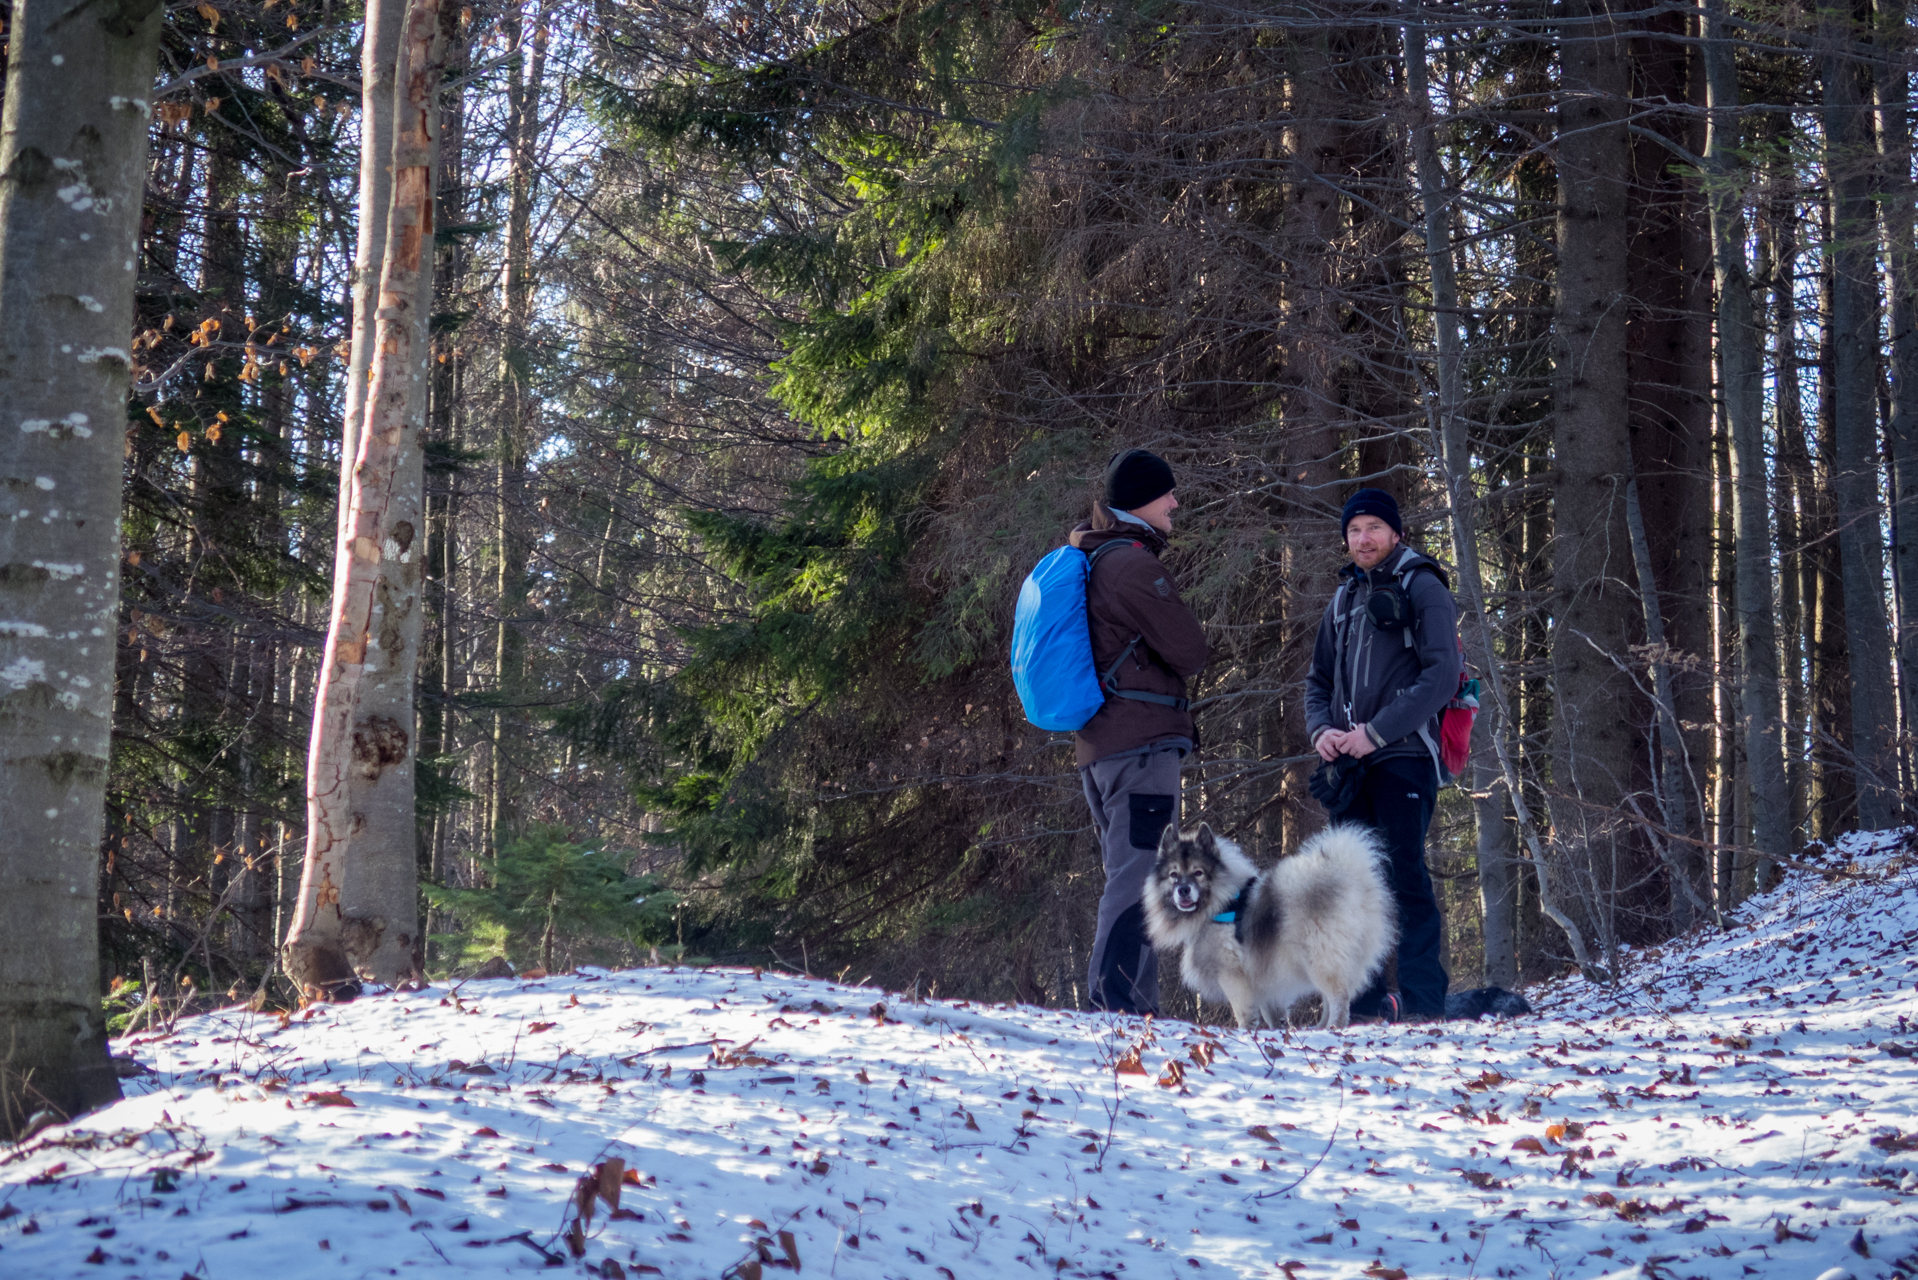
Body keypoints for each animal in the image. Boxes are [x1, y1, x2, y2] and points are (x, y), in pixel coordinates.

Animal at [1135, 821, 1396, 1028]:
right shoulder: (1263, 979)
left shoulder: (1233, 975)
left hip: (1320, 958)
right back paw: (1319, 1029)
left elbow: (1244, 1014)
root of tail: (1350, 878)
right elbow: (1272, 1013)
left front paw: (1246, 1033)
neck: (1220, 903)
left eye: (1198, 873)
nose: (1183, 890)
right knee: (1329, 999)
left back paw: (1333, 1028)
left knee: (1338, 998)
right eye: (1173, 875)